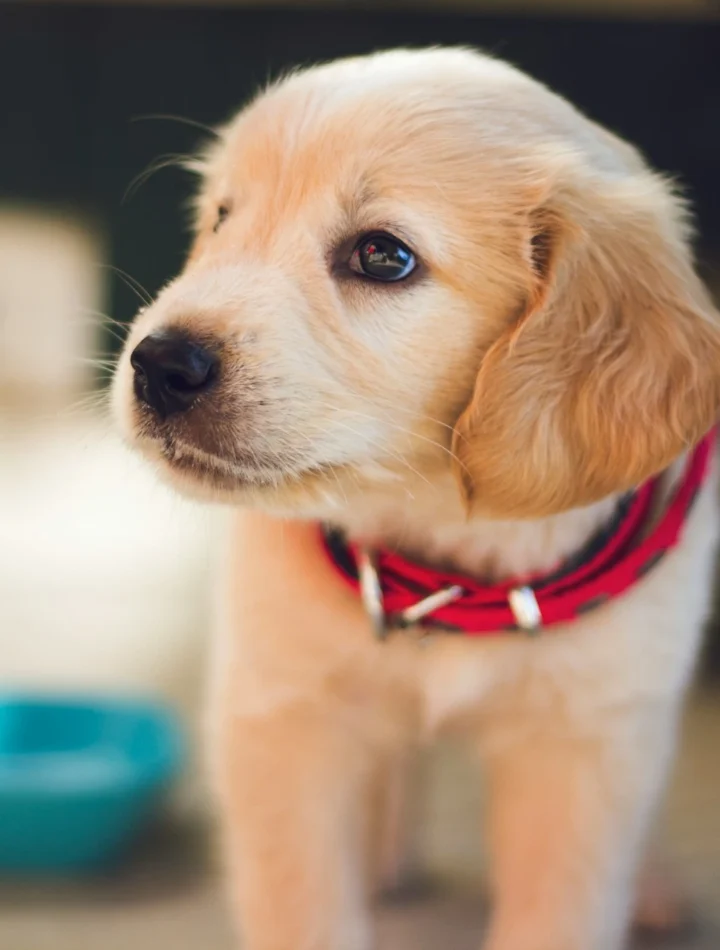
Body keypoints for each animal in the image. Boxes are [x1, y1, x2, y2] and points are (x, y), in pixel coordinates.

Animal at [112, 50, 720, 950]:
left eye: (382, 257)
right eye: (223, 217)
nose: (157, 365)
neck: (443, 551)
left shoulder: (585, 746)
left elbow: (561, 909)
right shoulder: (282, 718)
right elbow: (303, 907)